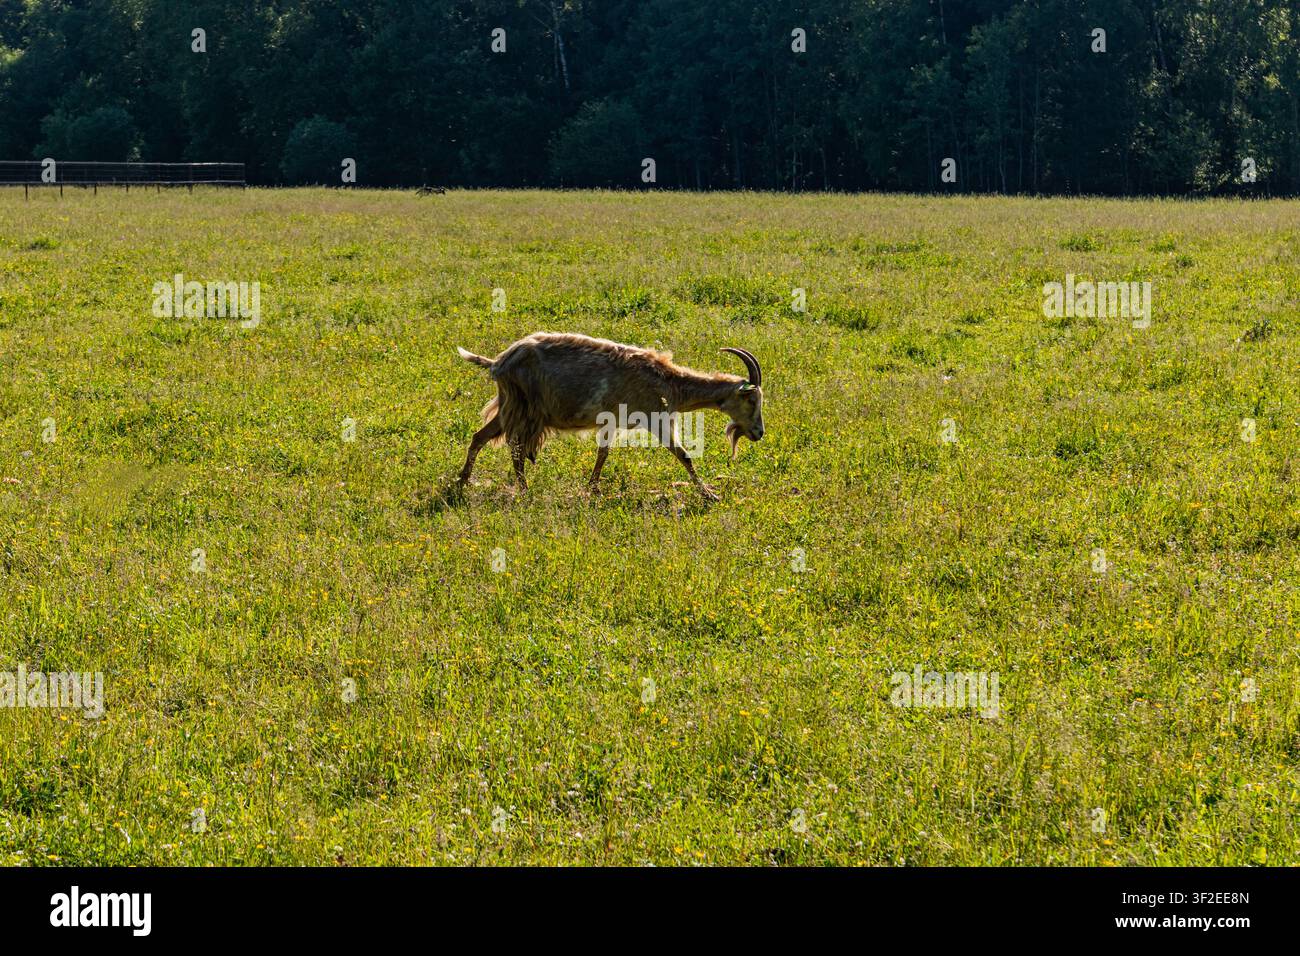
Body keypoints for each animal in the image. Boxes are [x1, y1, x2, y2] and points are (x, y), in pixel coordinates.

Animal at [455, 333, 764, 501]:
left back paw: (462, 482)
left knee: (480, 437)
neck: (666, 381)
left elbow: (603, 454)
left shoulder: (612, 421)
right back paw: (523, 489)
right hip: (522, 408)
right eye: (751, 399)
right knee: (515, 448)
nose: (759, 433)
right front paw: (710, 494)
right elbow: (684, 455)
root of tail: (498, 362)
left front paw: (592, 488)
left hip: (509, 407)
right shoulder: (655, 419)